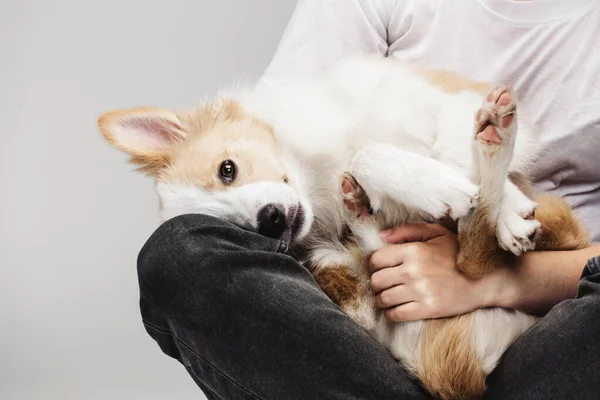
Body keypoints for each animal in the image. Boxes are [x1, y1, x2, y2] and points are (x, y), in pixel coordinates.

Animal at [101, 55, 588, 400]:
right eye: (239, 226)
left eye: (227, 169)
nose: (268, 221)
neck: (319, 180)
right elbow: (373, 158)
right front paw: (444, 188)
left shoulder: (438, 100)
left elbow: (429, 148)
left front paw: (507, 205)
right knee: (464, 256)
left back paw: (492, 144)